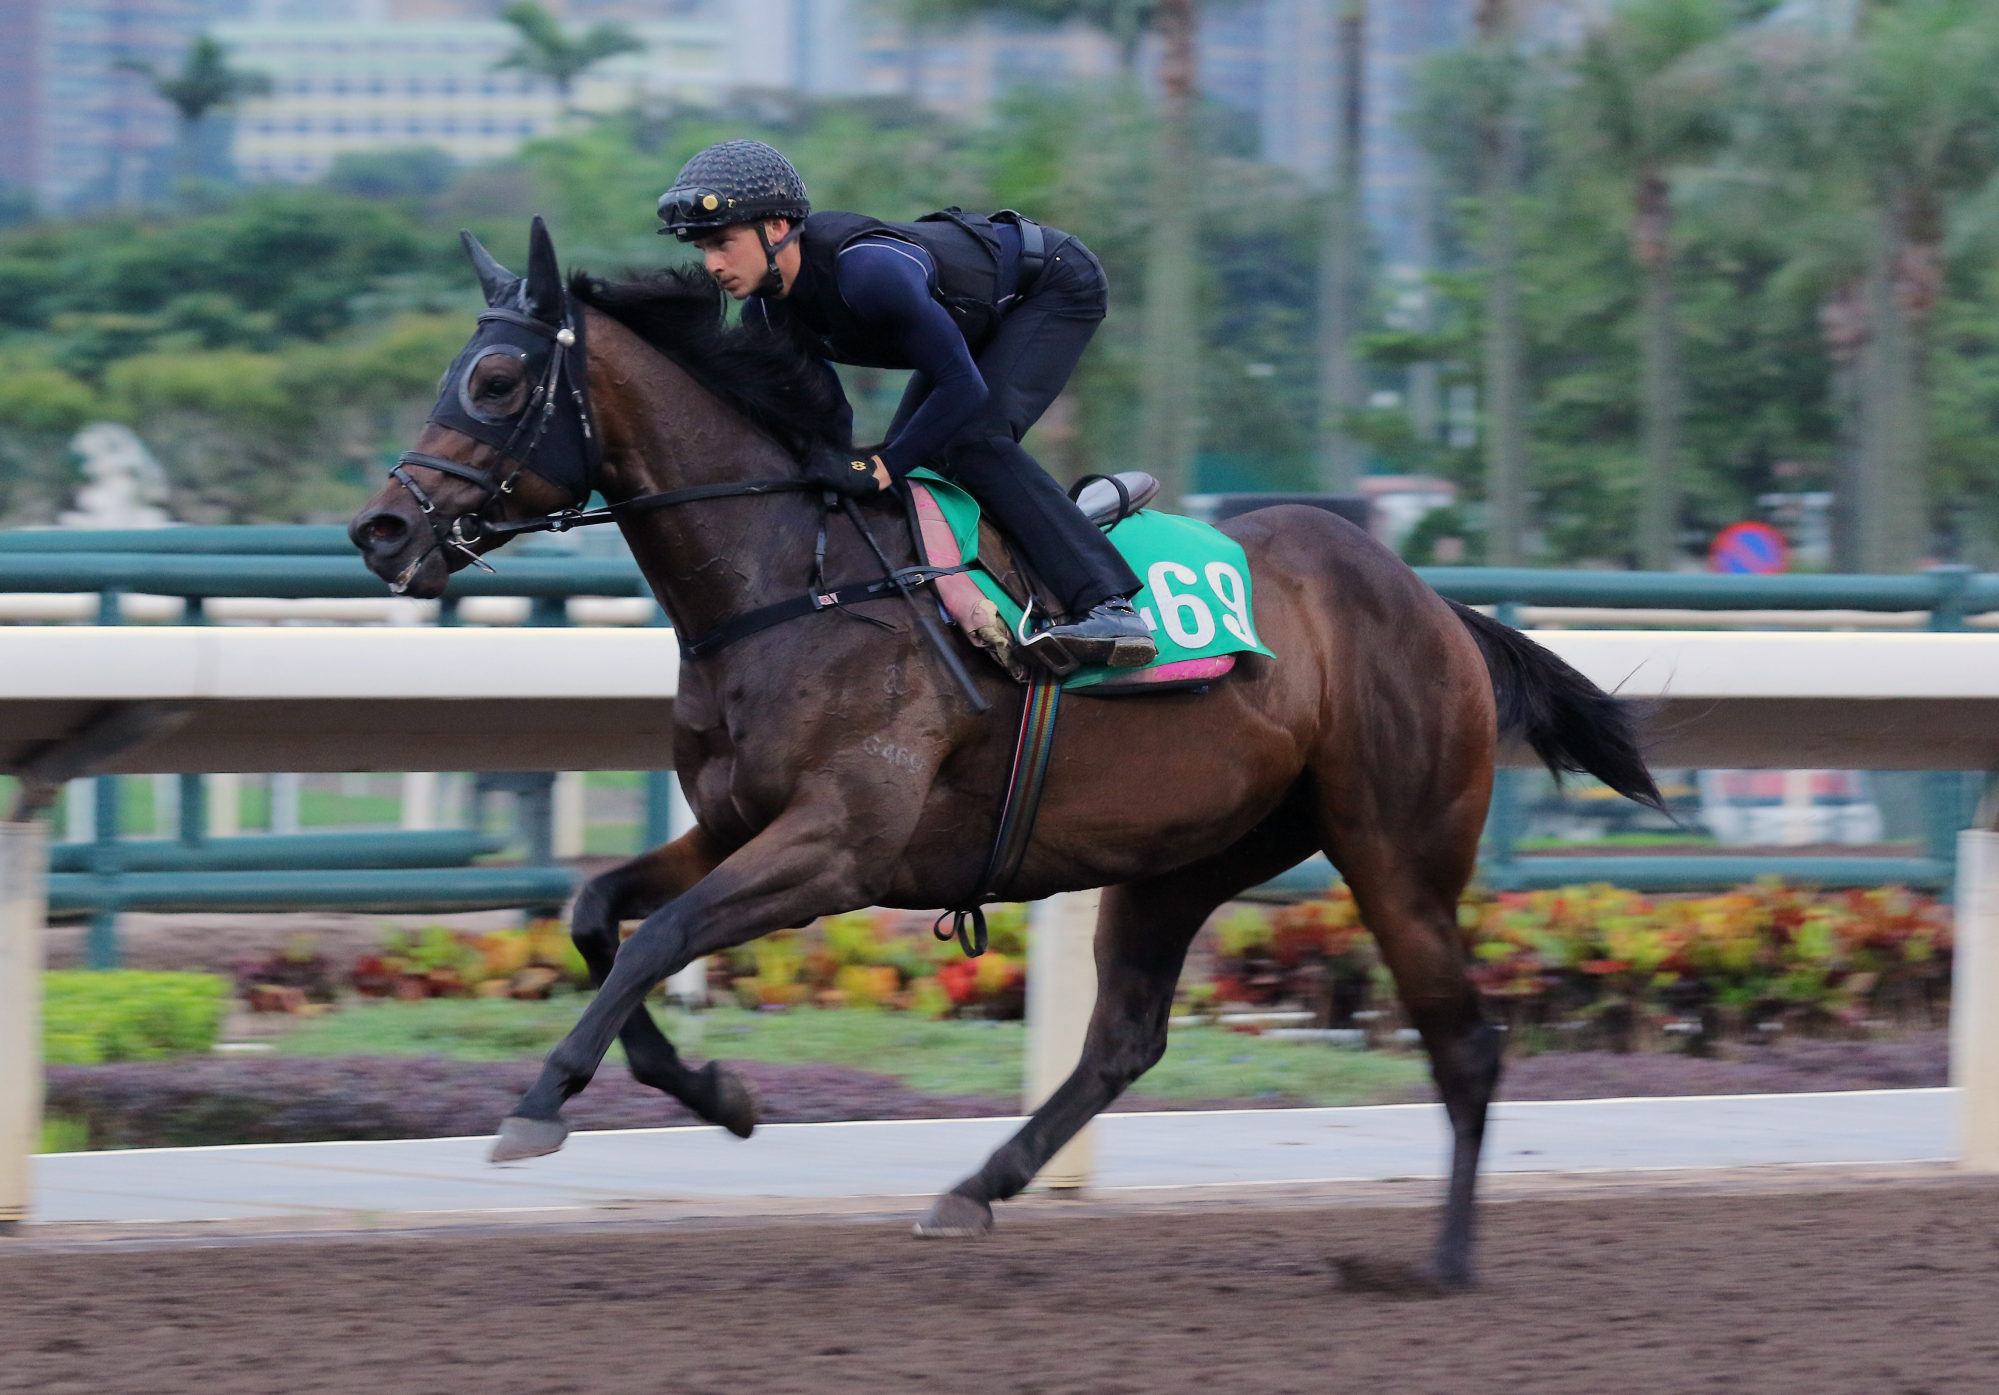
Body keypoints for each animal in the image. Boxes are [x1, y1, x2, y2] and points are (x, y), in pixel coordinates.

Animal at [351, 219, 1663, 1279]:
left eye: (497, 376)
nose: (383, 529)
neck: (794, 581)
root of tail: (1434, 605)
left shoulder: (837, 847)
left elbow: (655, 939)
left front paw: (541, 1104)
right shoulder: (736, 826)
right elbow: (597, 918)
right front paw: (719, 1095)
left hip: (1395, 848)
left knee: (1467, 1043)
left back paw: (1443, 1262)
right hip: (1189, 852)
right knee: (1126, 1039)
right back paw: (974, 1189)